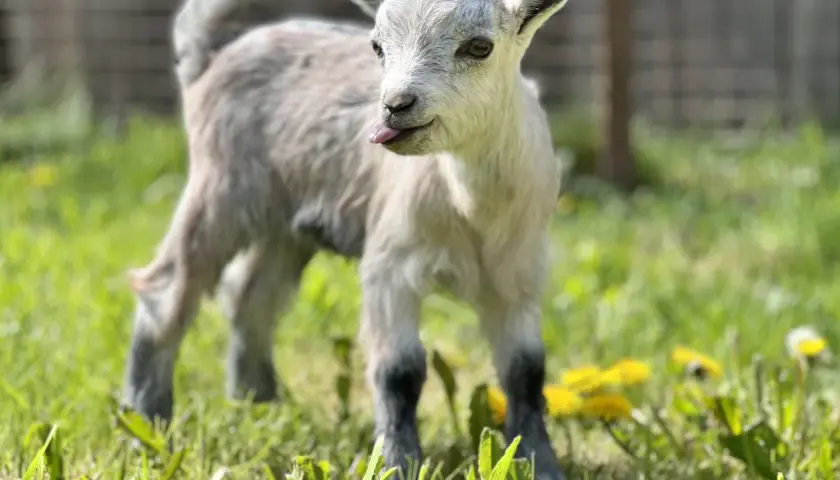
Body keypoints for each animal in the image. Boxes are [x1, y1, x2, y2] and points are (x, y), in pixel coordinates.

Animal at [122, 0, 569, 478]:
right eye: (377, 46)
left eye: (480, 47)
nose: (395, 105)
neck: (471, 206)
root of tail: (214, 55)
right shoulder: (391, 267)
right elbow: (399, 372)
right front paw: (398, 463)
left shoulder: (518, 276)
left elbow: (525, 372)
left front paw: (540, 462)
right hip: (222, 186)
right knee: (168, 290)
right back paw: (147, 424)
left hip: (286, 224)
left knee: (251, 297)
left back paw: (257, 405)